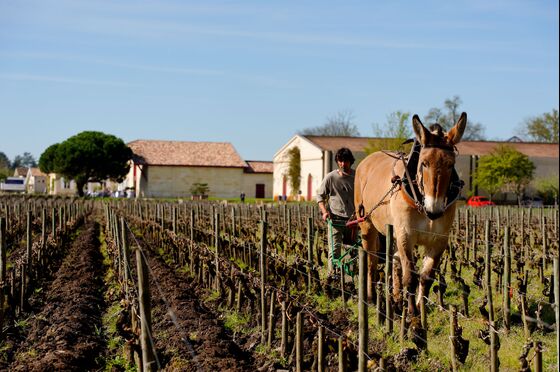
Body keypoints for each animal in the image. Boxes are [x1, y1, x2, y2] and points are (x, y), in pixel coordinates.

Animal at [354, 112, 468, 312]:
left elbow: (426, 277)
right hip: (367, 225)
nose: (434, 208)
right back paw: (371, 297)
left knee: (394, 260)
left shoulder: (439, 240)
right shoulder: (405, 235)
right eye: (424, 163)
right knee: (371, 262)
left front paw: (421, 309)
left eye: (450, 164)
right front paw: (413, 315)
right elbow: (411, 277)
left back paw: (396, 298)